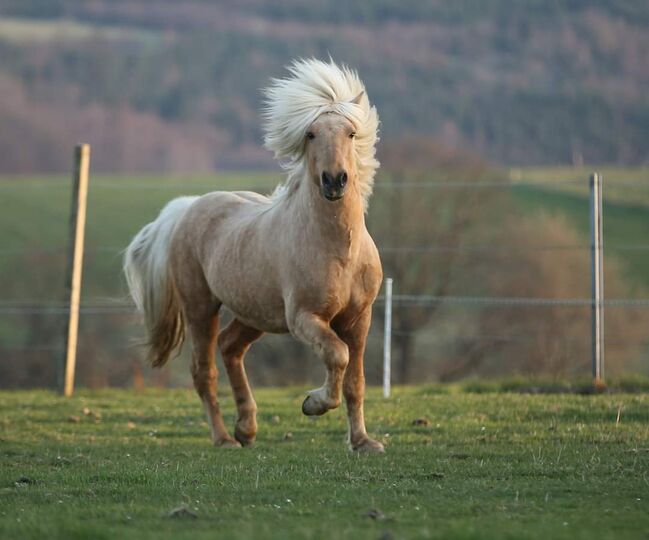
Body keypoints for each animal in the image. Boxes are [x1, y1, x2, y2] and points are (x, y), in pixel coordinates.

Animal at [124, 59, 382, 452]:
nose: (335, 180)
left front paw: (363, 443)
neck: (339, 252)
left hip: (254, 312)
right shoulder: (304, 318)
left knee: (230, 347)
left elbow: (356, 382)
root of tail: (187, 207)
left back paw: (246, 428)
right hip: (201, 308)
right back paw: (224, 438)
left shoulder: (359, 319)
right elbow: (337, 355)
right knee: (204, 372)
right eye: (310, 134)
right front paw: (313, 403)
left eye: (351, 133)